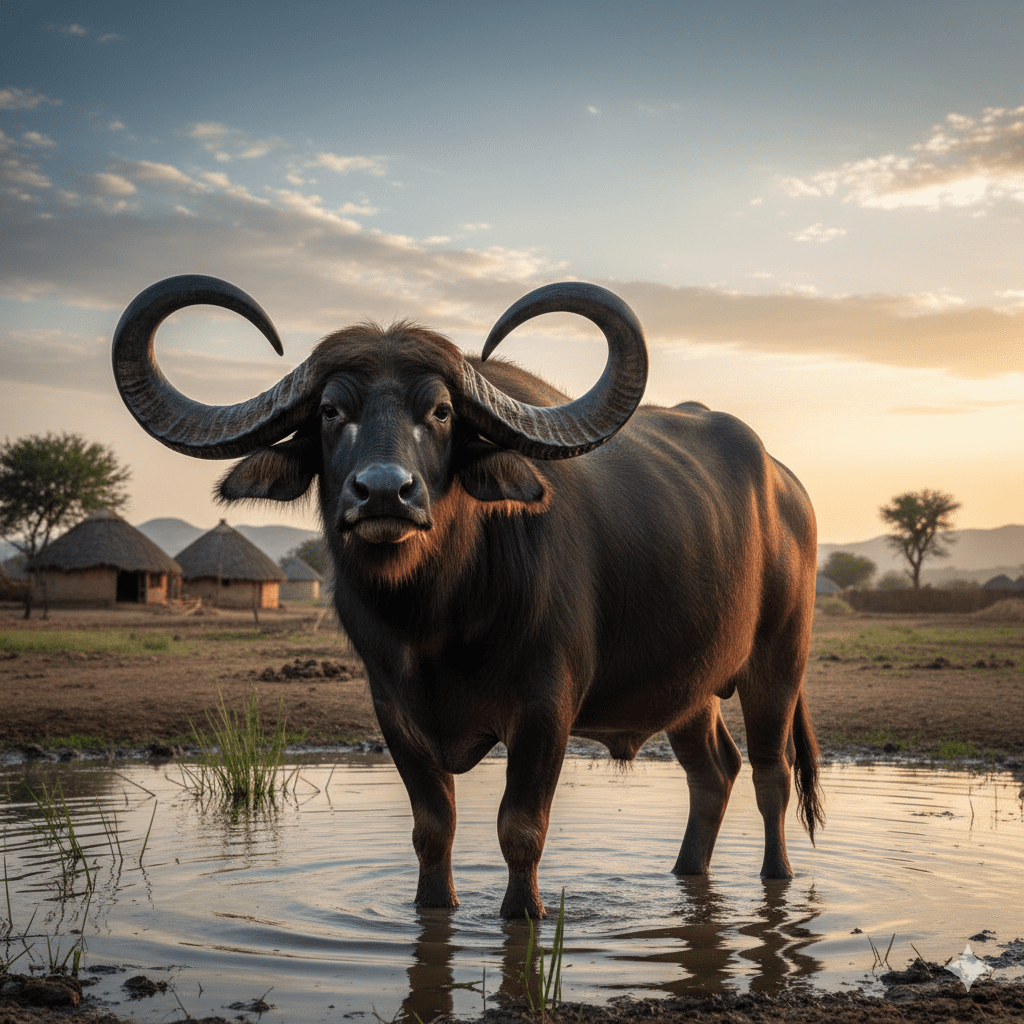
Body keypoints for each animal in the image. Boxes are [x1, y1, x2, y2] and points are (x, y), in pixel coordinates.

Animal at [112, 275, 823, 919]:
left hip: (778, 662)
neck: (436, 619)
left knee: (771, 773)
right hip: (689, 690)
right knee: (714, 772)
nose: (384, 493)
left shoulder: (546, 709)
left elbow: (521, 830)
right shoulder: (394, 712)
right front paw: (436, 907)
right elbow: (433, 830)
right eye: (330, 411)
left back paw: (777, 878)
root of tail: (787, 488)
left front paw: (523, 915)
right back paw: (684, 875)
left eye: (441, 411)